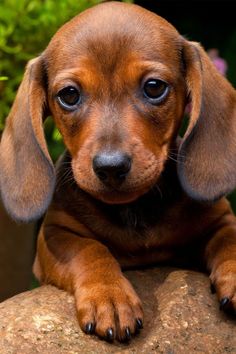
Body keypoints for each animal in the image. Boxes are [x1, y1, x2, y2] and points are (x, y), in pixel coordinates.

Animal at [0, 0, 236, 342]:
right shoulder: (53, 236)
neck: (133, 211)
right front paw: (109, 296)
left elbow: (230, 240)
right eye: (69, 95)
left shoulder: (221, 219)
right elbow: (89, 249)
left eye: (154, 87)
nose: (110, 167)